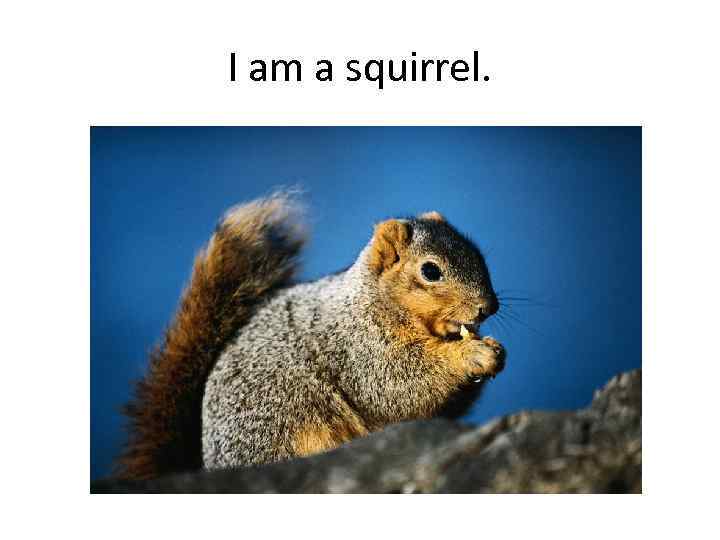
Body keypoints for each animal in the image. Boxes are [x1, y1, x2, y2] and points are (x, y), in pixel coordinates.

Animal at [117, 191, 505, 480]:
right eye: (430, 271)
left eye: (478, 254)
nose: (488, 307)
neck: (374, 300)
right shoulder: (360, 347)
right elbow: (399, 387)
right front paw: (472, 355)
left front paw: (494, 351)